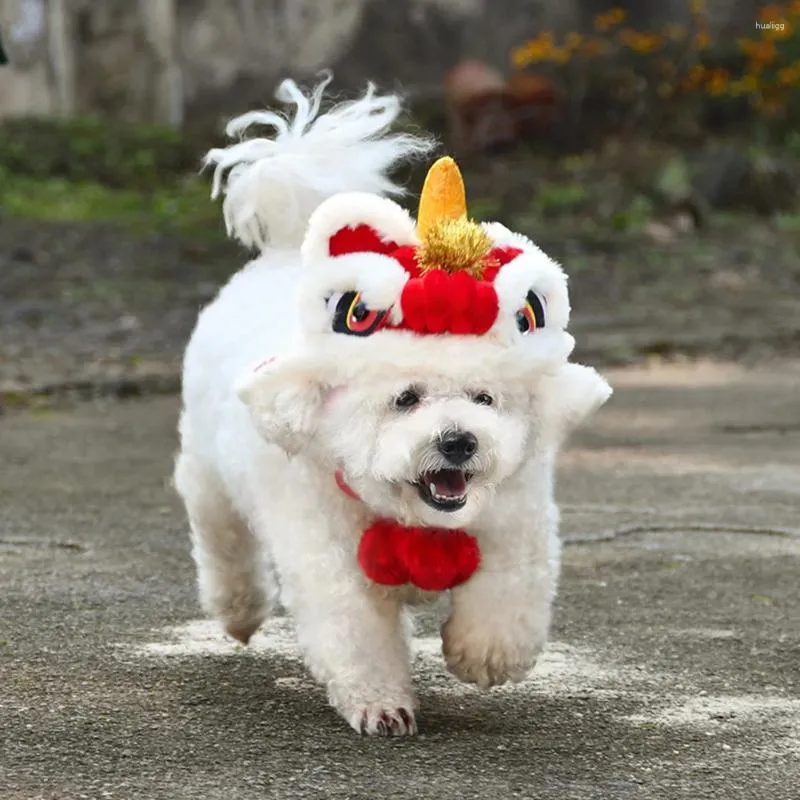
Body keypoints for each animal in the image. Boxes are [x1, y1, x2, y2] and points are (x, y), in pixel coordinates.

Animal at [175, 76, 612, 736]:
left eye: (485, 397)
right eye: (405, 398)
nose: (459, 441)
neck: (415, 520)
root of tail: (288, 249)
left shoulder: (516, 521)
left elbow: (509, 596)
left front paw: (486, 654)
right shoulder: (325, 553)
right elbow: (355, 632)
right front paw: (381, 704)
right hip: (209, 477)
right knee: (222, 541)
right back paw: (238, 609)